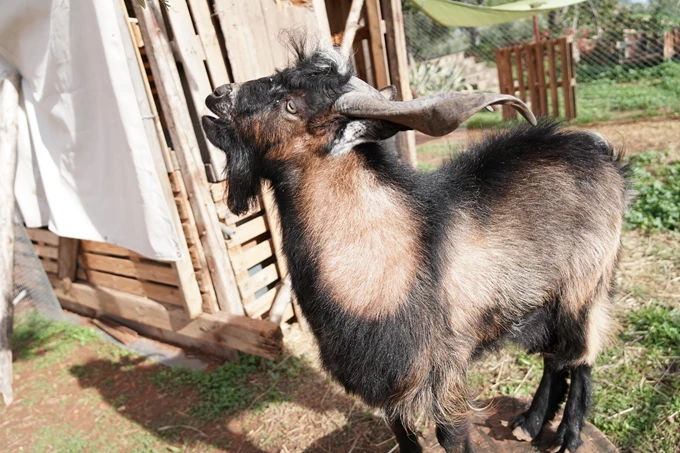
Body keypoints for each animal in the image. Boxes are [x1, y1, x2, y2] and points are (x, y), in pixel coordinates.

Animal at [202, 41, 628, 453]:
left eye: (291, 104)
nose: (218, 94)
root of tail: (605, 157)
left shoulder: (442, 375)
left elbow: (452, 438)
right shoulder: (387, 384)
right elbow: (404, 437)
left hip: (586, 287)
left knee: (581, 355)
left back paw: (568, 436)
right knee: (555, 358)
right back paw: (529, 423)